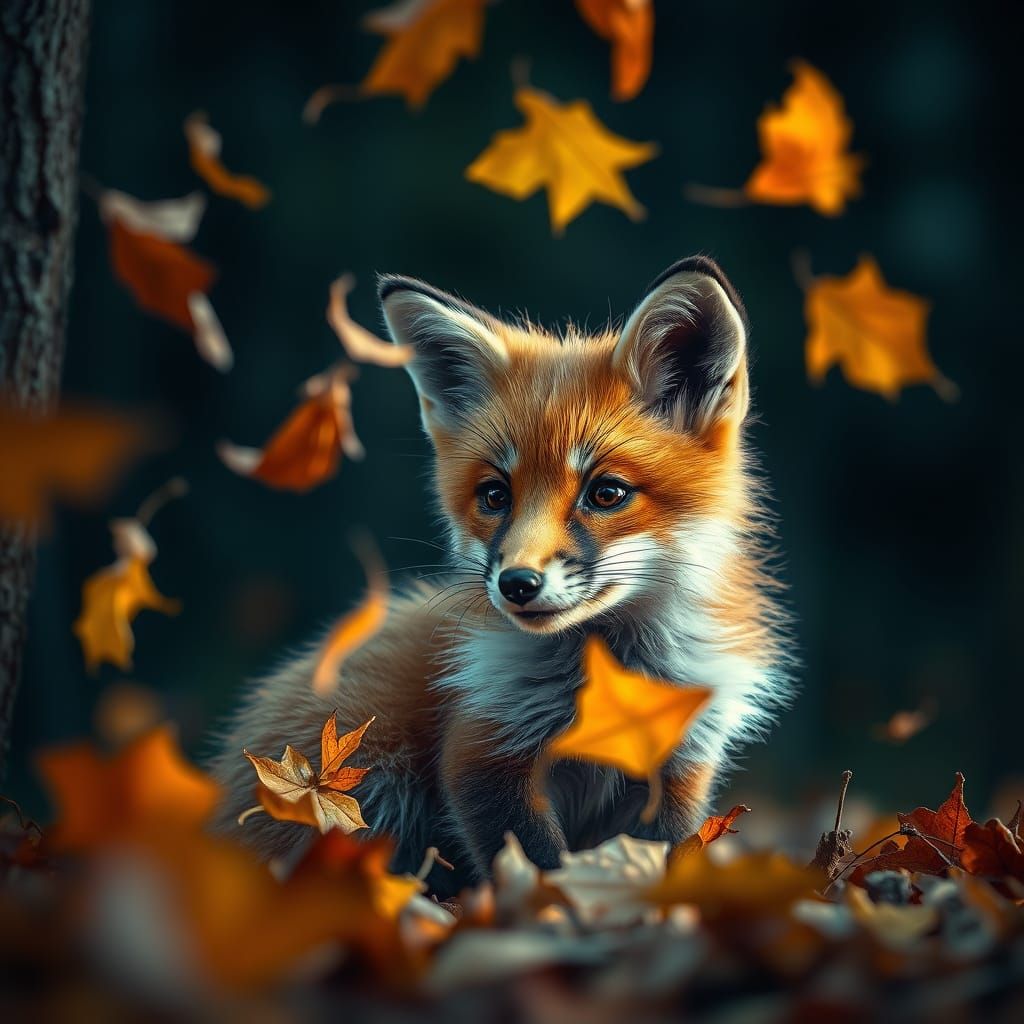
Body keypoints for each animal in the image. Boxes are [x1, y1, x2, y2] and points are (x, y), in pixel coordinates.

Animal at [209, 256, 791, 896]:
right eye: (495, 495)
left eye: (606, 493)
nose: (516, 584)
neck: (608, 678)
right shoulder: (485, 757)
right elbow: (539, 868)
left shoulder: (681, 765)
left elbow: (663, 855)